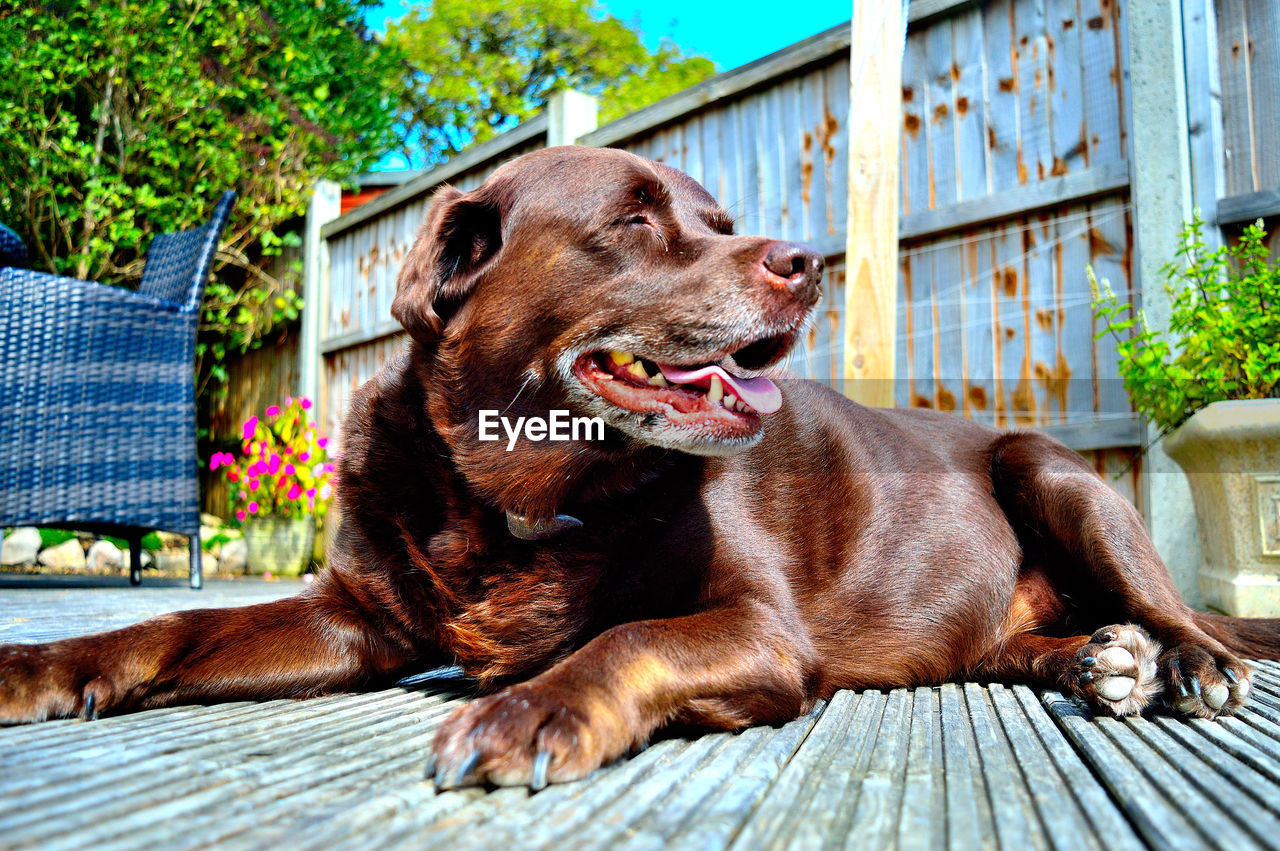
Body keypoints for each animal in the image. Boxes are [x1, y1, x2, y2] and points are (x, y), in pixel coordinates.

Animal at [2, 147, 1280, 788]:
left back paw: (1183, 661)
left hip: (1055, 475)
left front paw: (530, 708)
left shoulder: (756, 626)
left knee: (1178, 611)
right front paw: (46, 663)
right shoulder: (350, 616)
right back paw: (1095, 660)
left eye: (716, 218)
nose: (804, 260)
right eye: (631, 222)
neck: (515, 495)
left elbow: (624, 637)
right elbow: (174, 627)